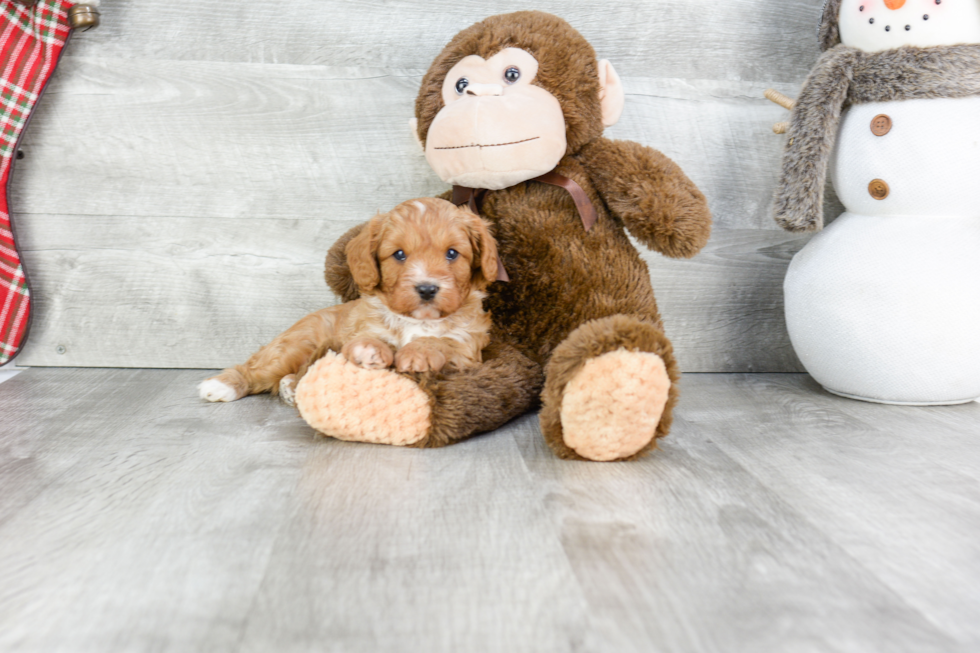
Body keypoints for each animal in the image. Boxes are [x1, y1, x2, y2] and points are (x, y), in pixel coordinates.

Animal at [199, 196, 498, 404]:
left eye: (452, 253)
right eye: (399, 254)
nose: (426, 289)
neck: (416, 321)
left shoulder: (468, 351)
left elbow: (443, 342)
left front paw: (420, 352)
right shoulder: (363, 327)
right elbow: (366, 338)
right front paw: (369, 349)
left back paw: (289, 388)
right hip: (294, 346)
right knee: (257, 369)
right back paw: (222, 385)